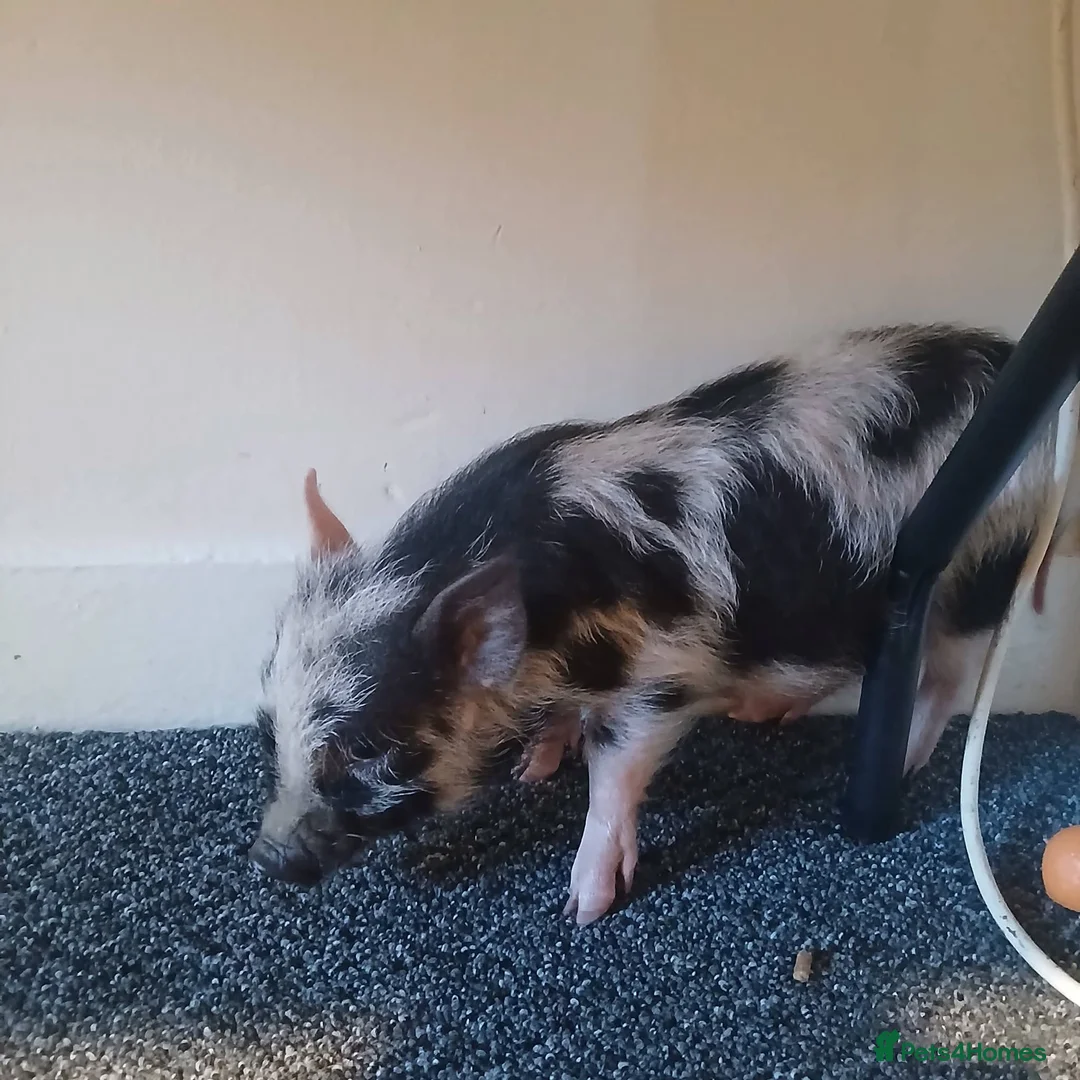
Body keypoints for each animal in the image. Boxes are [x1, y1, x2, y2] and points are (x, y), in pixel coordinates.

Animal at [248, 323, 1055, 924]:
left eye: (366, 751)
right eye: (267, 729)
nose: (263, 856)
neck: (550, 632)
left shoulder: (662, 677)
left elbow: (614, 775)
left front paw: (582, 908)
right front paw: (536, 767)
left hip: (972, 570)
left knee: (945, 682)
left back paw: (904, 763)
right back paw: (768, 714)